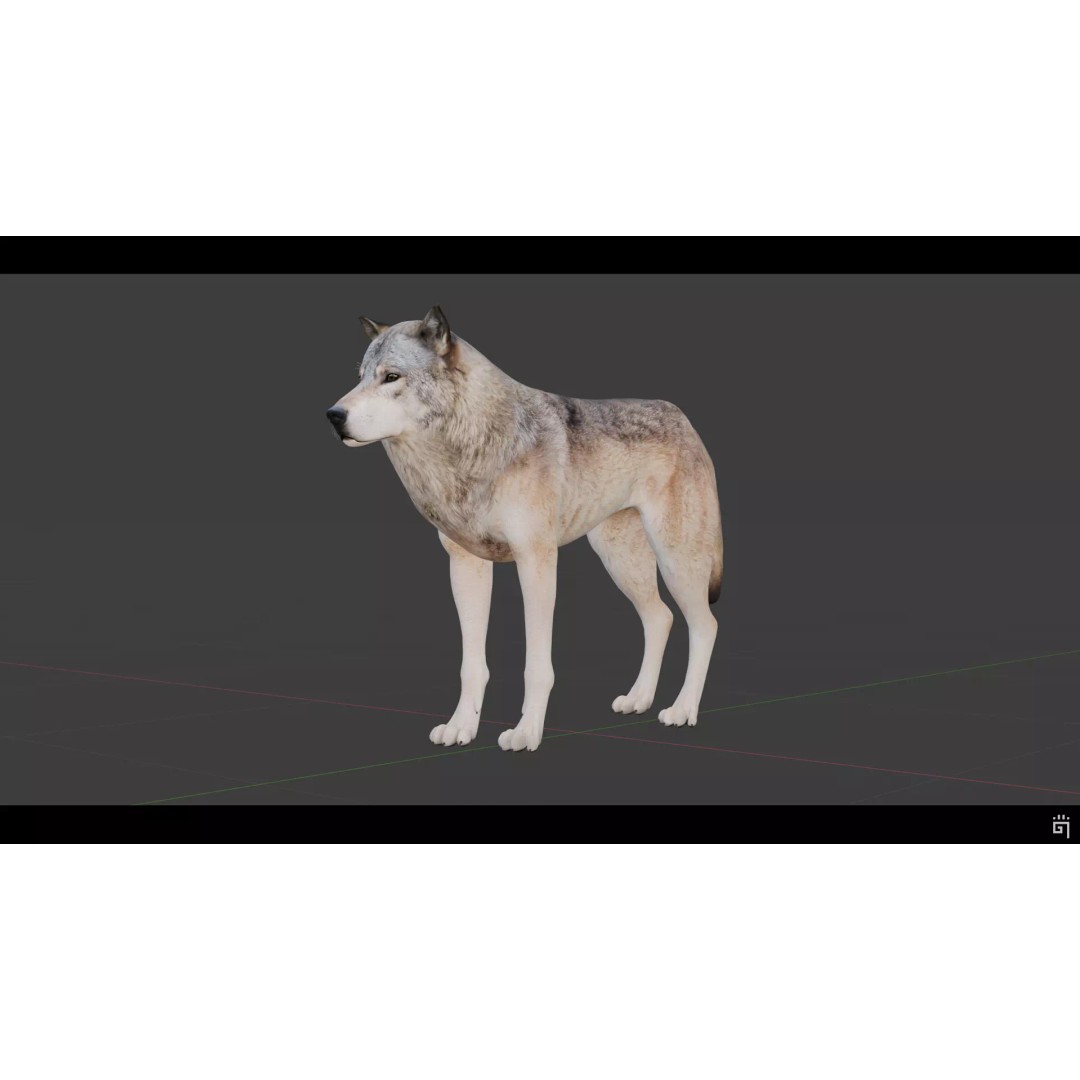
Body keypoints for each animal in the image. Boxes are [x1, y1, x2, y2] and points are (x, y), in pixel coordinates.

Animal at [327, 307, 723, 752]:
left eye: (391, 376)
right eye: (361, 376)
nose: (333, 415)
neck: (473, 448)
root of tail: (681, 416)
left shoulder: (536, 562)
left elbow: (536, 667)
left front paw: (526, 732)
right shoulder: (465, 564)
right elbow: (471, 666)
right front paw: (461, 727)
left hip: (676, 562)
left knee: (704, 625)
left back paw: (682, 710)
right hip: (620, 562)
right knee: (660, 618)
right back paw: (639, 699)